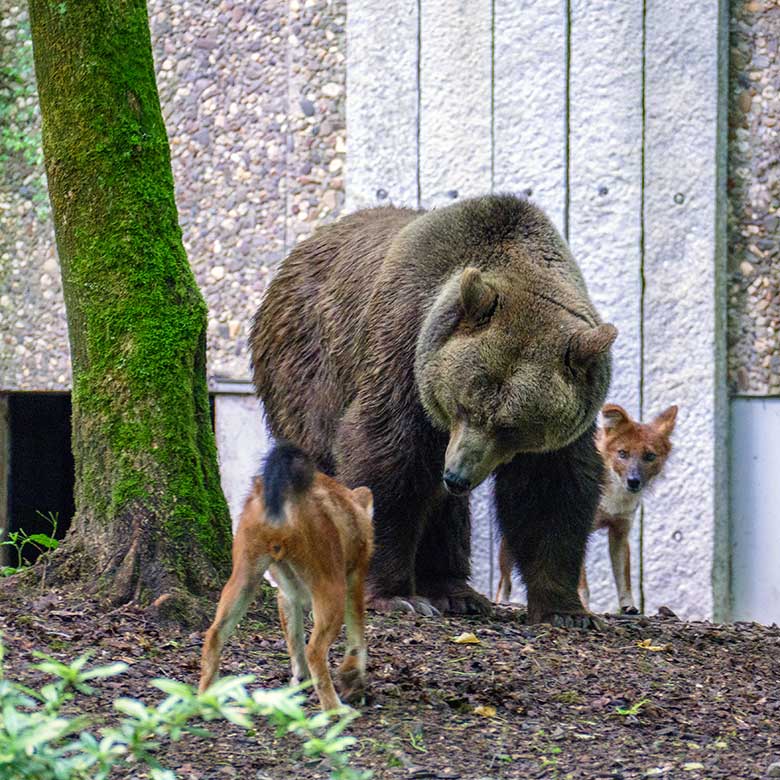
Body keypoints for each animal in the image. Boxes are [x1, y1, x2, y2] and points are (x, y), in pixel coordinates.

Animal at [250, 195, 616, 628]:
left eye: (511, 427)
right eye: (464, 405)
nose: (457, 475)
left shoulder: (563, 425)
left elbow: (552, 491)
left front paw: (566, 610)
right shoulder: (403, 354)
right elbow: (387, 459)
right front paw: (393, 595)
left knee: (444, 508)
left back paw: (454, 591)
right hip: (308, 369)